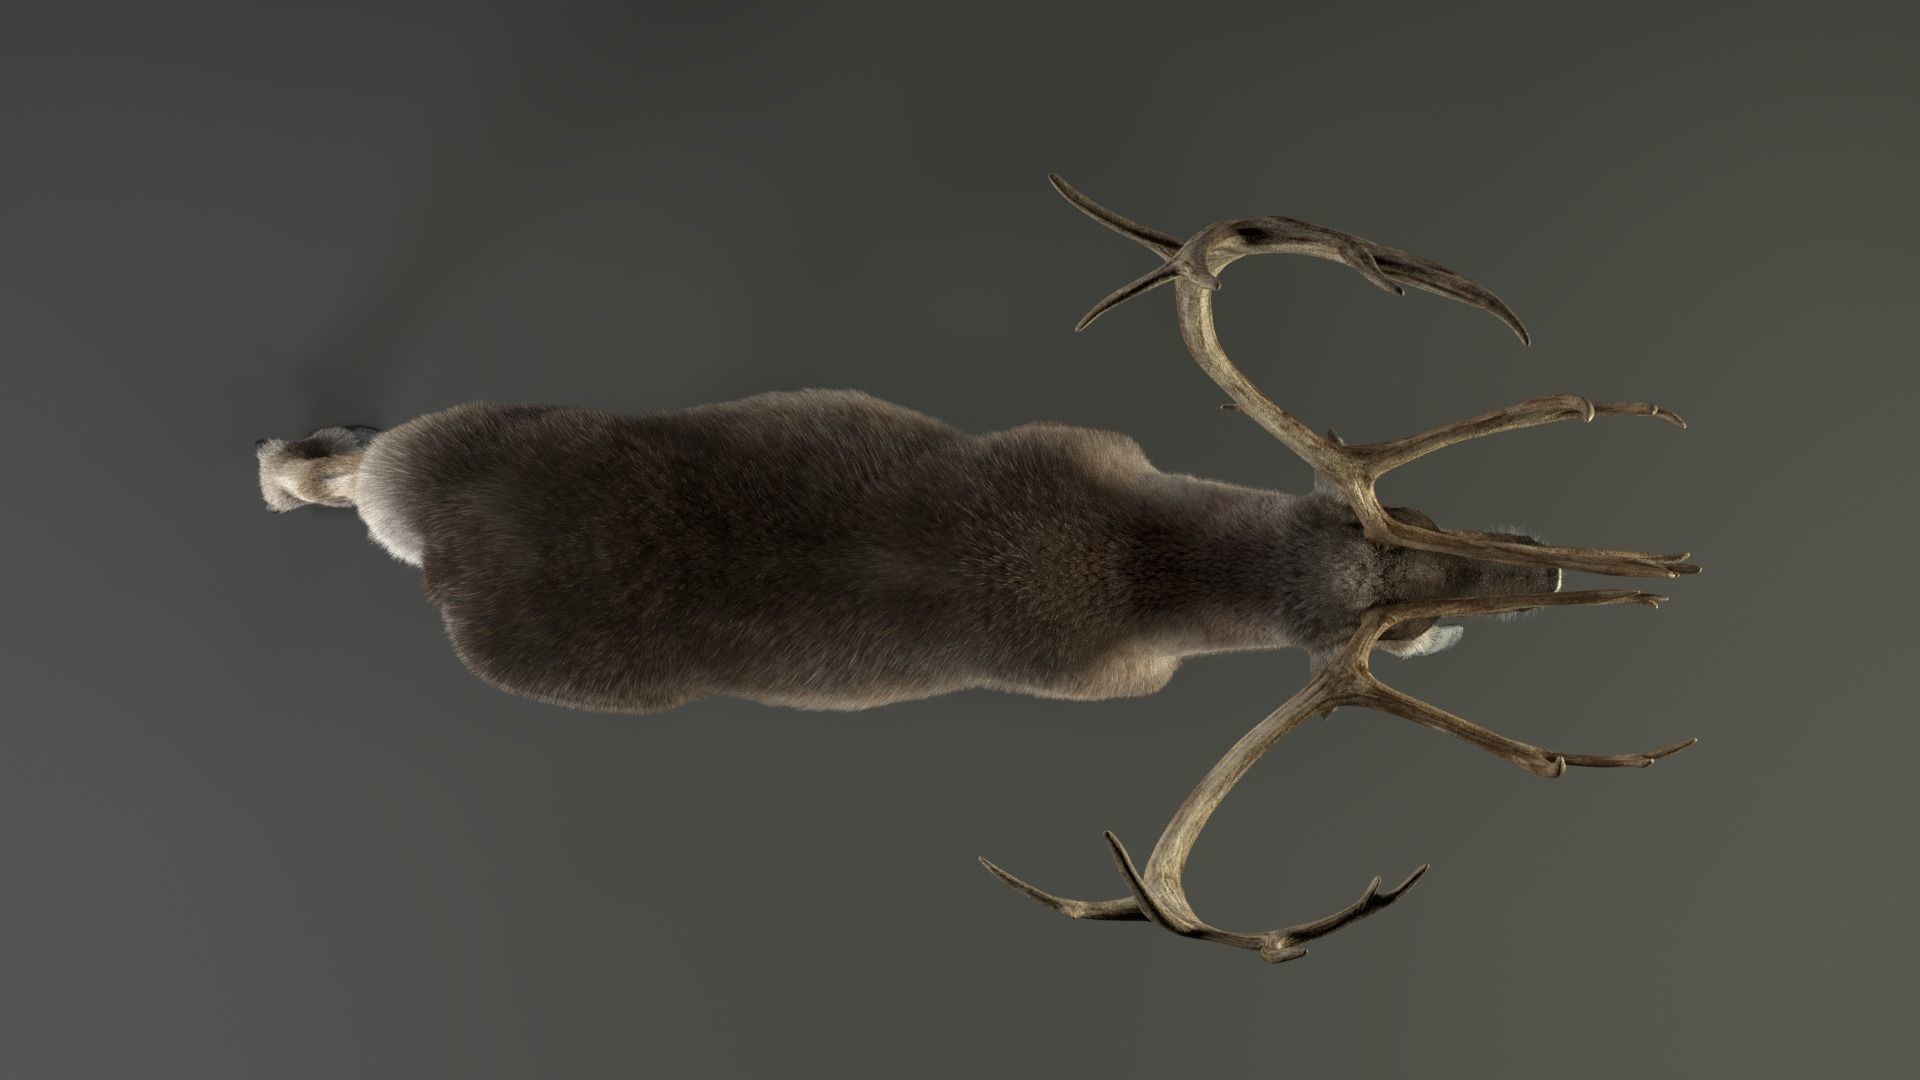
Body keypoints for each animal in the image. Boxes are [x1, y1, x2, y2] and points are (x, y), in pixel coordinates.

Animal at [255, 175, 1697, 963]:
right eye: (1397, 639)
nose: (1527, 579)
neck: (1152, 566)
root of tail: (441, 532)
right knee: (331, 475)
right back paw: (290, 464)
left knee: (346, 465)